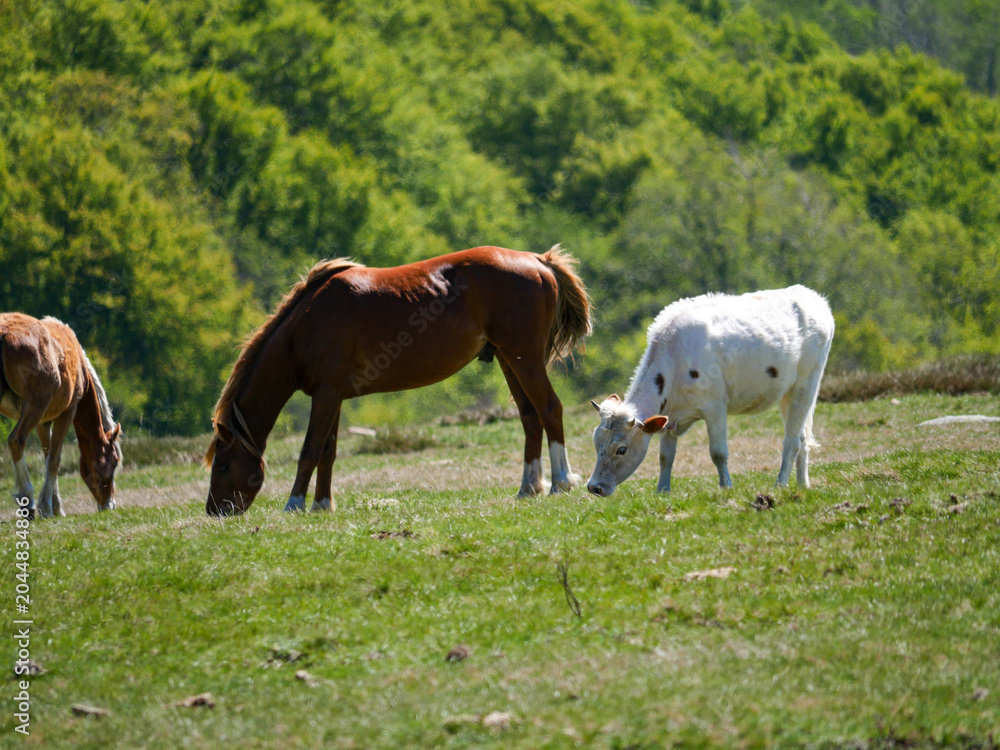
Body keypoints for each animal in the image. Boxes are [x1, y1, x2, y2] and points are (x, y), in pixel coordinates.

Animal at [1, 314, 122, 518]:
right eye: (114, 461)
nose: (109, 505)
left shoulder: (43, 423)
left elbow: (47, 455)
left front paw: (55, 506)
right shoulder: (66, 414)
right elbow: (54, 460)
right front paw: (45, 506)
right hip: (35, 406)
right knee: (17, 440)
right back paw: (28, 499)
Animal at [205, 245, 592, 516]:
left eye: (222, 465)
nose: (214, 512)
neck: (306, 324)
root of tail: (539, 261)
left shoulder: (326, 395)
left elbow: (309, 450)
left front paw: (295, 504)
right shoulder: (333, 396)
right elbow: (328, 451)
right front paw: (322, 505)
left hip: (524, 358)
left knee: (549, 409)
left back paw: (560, 482)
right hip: (510, 361)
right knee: (530, 416)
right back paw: (529, 487)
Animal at [587, 285, 834, 496]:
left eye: (621, 449)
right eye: (596, 442)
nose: (594, 487)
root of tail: (811, 295)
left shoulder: (715, 406)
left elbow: (718, 452)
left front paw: (726, 487)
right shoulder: (670, 417)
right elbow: (666, 457)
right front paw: (662, 491)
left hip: (808, 382)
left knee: (792, 441)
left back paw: (780, 484)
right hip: (785, 392)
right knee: (802, 437)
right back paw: (803, 485)